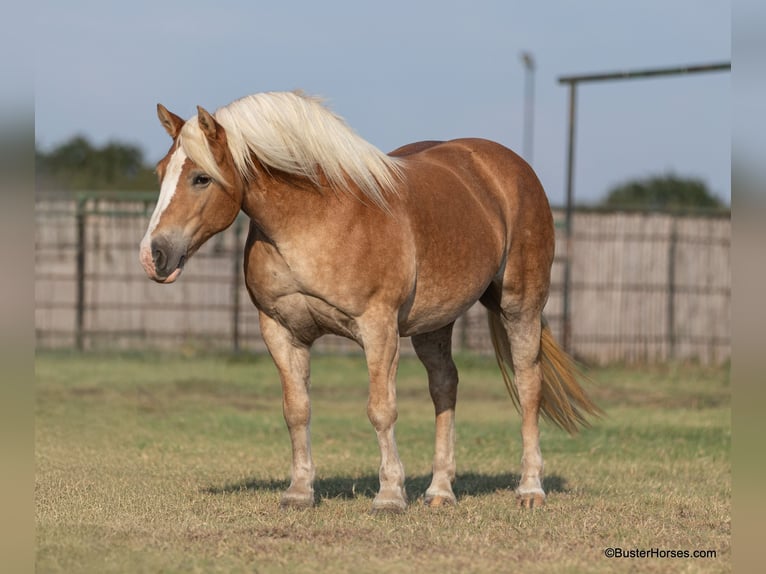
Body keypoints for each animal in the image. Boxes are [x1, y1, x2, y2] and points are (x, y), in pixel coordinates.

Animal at [141, 92, 604, 516]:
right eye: (161, 173)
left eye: (201, 178)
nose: (153, 255)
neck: (315, 217)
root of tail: (505, 166)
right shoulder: (280, 330)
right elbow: (297, 410)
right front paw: (299, 492)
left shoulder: (378, 327)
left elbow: (381, 410)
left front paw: (390, 495)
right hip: (434, 322)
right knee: (445, 386)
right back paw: (440, 491)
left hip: (520, 306)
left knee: (528, 386)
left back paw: (530, 488)